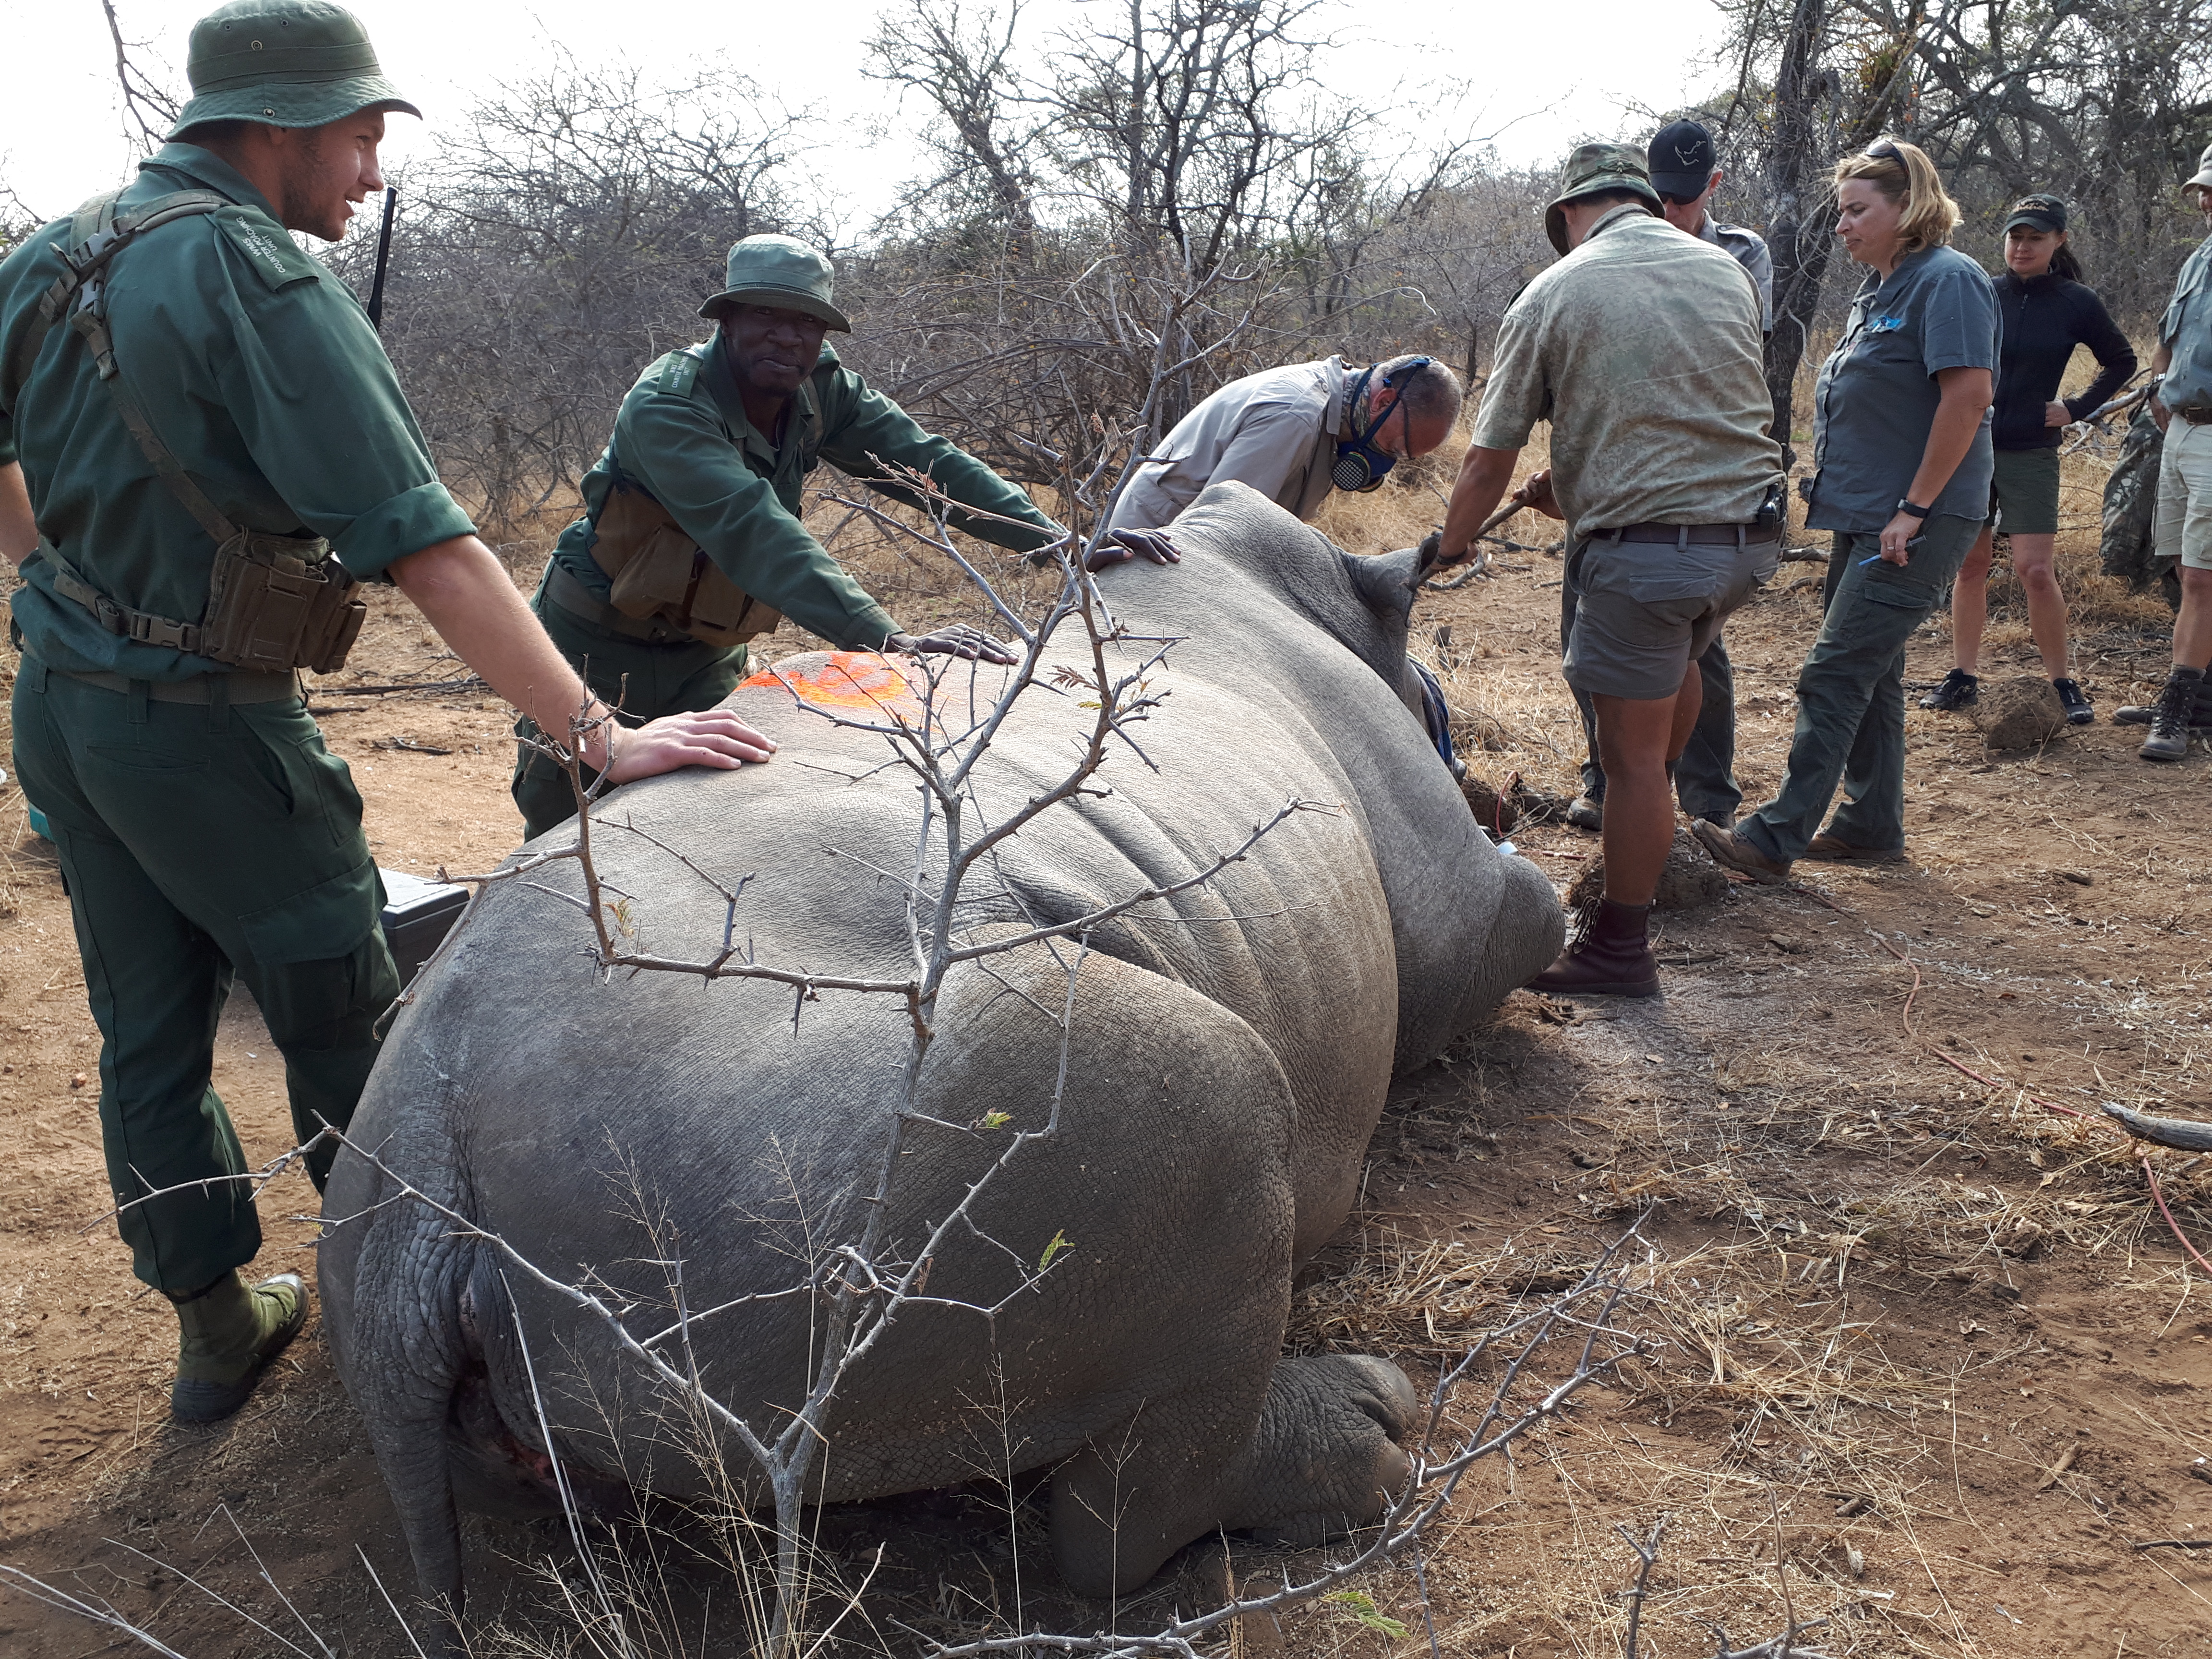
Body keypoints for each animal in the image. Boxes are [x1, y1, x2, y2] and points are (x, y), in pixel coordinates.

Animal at [319, 482, 1565, 1615]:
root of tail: (425, 1171)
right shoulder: (1449, 907)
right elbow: (1521, 910)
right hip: (830, 1141)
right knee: (1219, 1106)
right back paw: (1376, 1432)